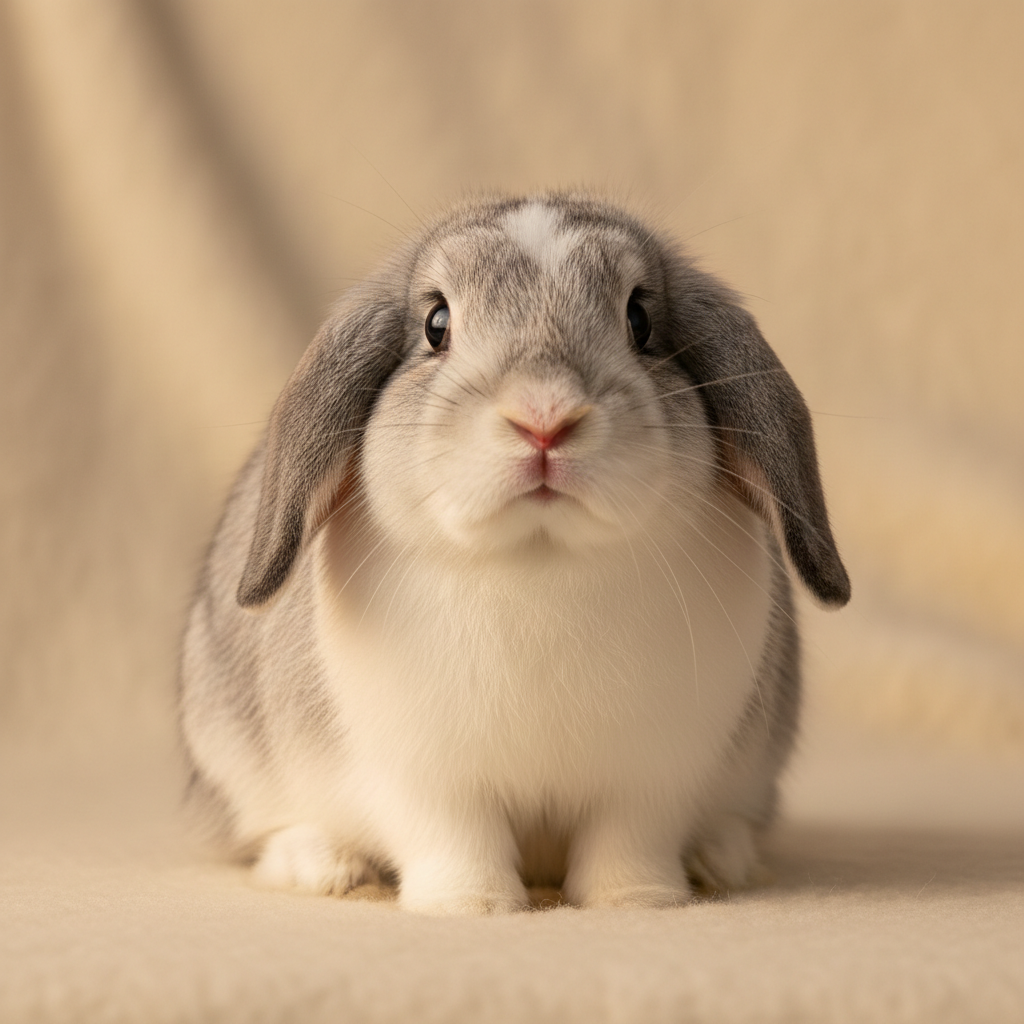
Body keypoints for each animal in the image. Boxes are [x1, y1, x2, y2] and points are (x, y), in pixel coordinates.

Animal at [179, 191, 850, 914]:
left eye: (639, 320)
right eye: (436, 324)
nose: (544, 418)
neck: (540, 557)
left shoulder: (652, 779)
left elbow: (627, 841)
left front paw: (638, 900)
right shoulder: (426, 780)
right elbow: (457, 841)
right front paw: (470, 906)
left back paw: (720, 858)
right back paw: (325, 867)